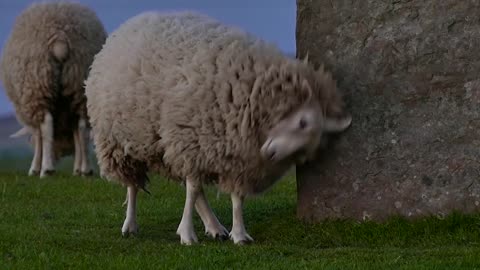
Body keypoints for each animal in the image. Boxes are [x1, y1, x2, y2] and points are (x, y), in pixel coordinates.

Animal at [0, 1, 107, 177]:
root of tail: (60, 35)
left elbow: (38, 135)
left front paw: (35, 168)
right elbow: (76, 134)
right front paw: (77, 169)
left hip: (37, 82)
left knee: (46, 124)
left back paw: (47, 169)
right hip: (79, 81)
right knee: (82, 126)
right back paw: (86, 170)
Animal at [84, 11, 350, 245]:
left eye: (306, 151)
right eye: (302, 122)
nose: (272, 154)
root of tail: (129, 24)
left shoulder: (235, 157)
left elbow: (234, 197)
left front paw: (239, 233)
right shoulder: (191, 140)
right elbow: (192, 190)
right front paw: (187, 234)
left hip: (163, 145)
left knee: (192, 187)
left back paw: (214, 227)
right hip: (119, 141)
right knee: (133, 185)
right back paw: (130, 224)